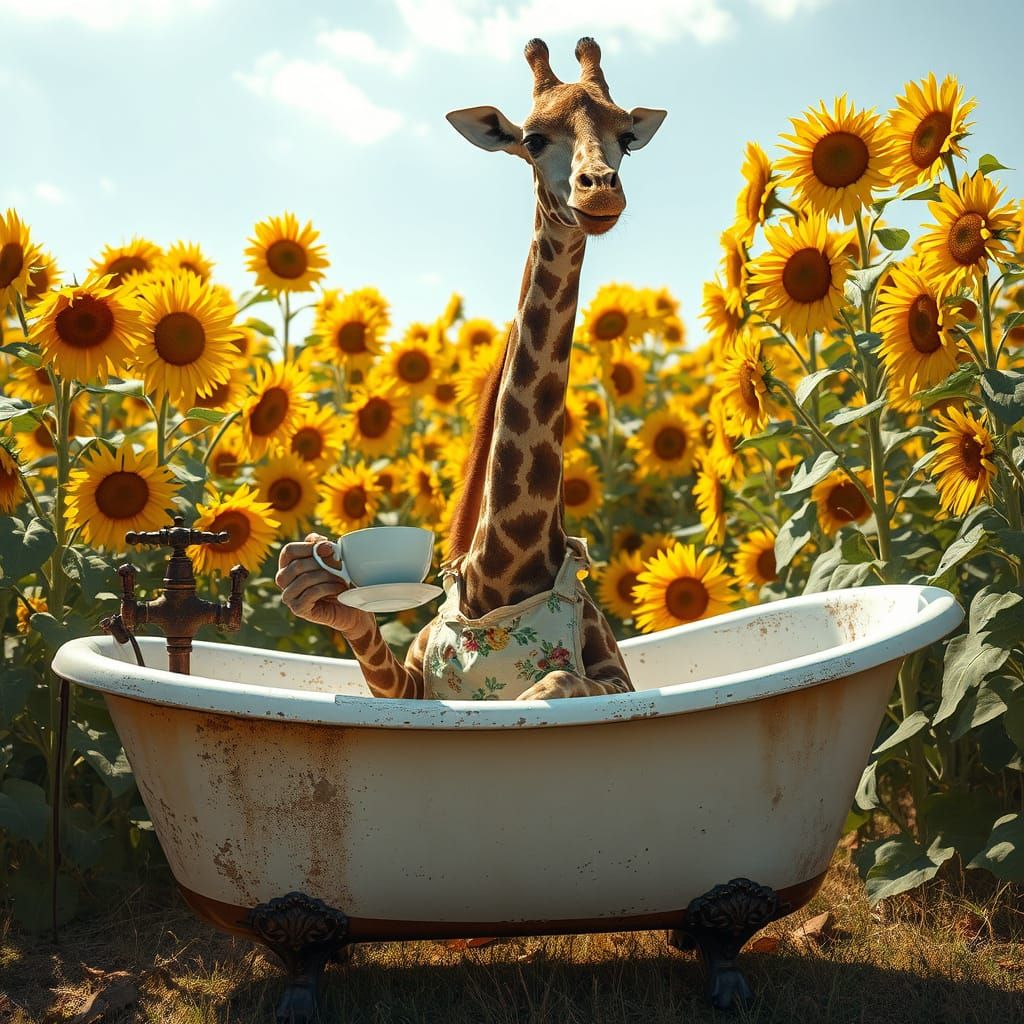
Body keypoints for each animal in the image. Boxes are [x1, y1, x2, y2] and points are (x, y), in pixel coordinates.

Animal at [276, 37, 666, 701]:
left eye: (627, 137)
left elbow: (558, 677)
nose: (599, 193)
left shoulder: (618, 680)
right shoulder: (413, 686)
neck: (501, 575)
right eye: (532, 138)